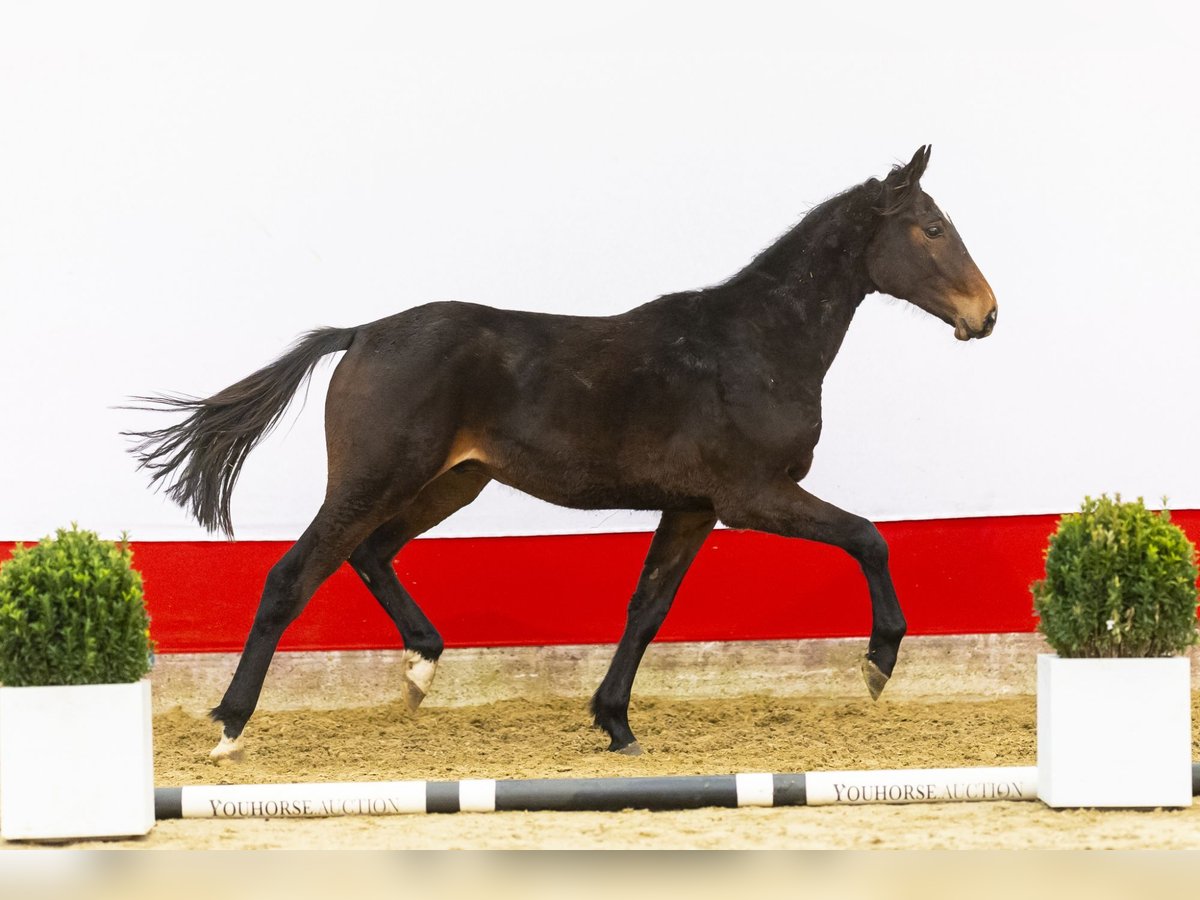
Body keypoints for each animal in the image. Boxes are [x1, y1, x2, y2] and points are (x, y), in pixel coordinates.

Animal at [129, 148, 993, 763]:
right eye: (932, 229)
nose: (986, 314)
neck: (754, 345)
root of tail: (362, 333)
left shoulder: (692, 506)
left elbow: (647, 608)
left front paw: (615, 723)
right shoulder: (752, 495)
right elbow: (868, 537)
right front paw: (878, 663)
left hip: (452, 482)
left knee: (370, 553)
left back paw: (421, 670)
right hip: (375, 477)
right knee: (291, 575)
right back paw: (230, 726)